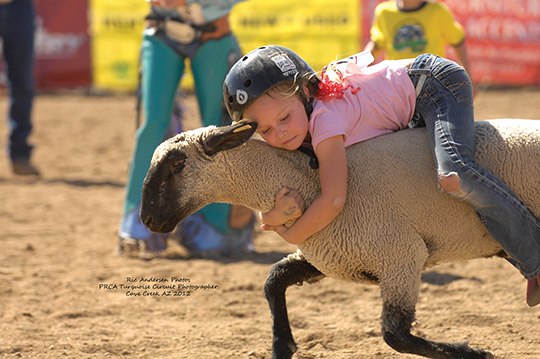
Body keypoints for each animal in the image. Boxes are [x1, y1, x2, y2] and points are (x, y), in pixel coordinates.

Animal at [138, 120, 540, 359]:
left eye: (177, 165)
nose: (146, 219)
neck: (306, 181)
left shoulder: (401, 258)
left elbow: (396, 336)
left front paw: (471, 352)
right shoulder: (333, 256)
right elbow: (274, 281)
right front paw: (282, 345)